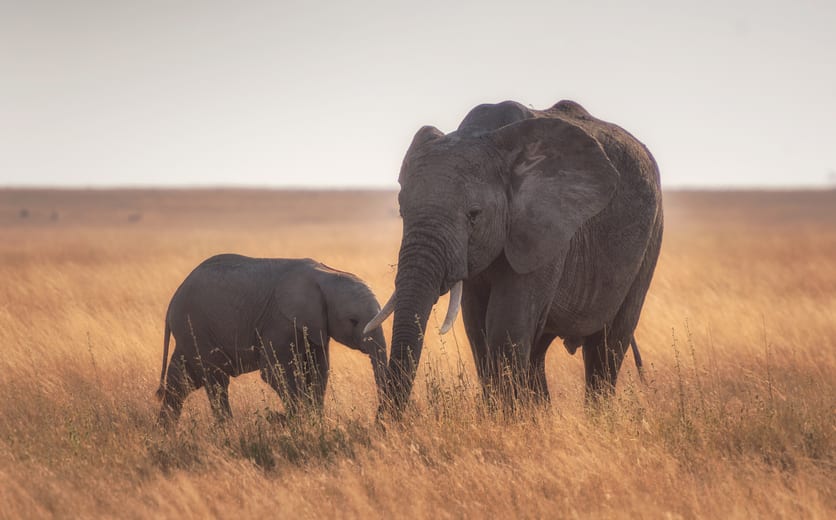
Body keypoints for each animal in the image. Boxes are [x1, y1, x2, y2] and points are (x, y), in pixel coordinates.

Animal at [156, 254, 388, 425]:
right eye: (353, 321)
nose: (379, 420)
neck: (326, 274)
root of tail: (173, 300)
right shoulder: (279, 322)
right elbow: (275, 372)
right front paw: (299, 423)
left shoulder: (315, 326)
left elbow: (318, 371)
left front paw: (315, 423)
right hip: (195, 327)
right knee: (216, 380)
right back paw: (227, 430)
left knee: (181, 381)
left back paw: (166, 433)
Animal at [365, 99, 663, 411]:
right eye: (402, 211)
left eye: (474, 215)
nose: (386, 420)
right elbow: (478, 328)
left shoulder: (545, 229)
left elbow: (505, 326)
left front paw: (507, 418)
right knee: (539, 350)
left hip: (651, 239)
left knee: (607, 345)